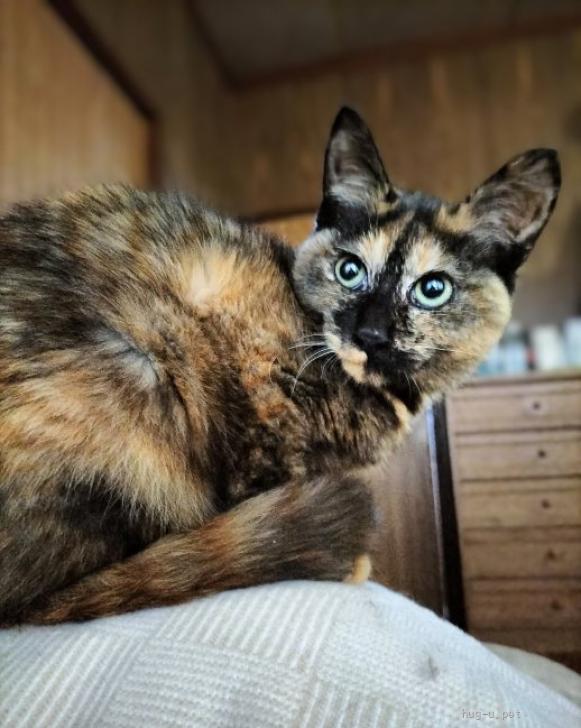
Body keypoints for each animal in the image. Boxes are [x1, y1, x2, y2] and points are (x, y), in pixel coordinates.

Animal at [0, 107, 560, 625]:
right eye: (349, 270)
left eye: (433, 288)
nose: (370, 335)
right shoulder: (260, 415)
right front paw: (346, 564)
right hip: (136, 381)